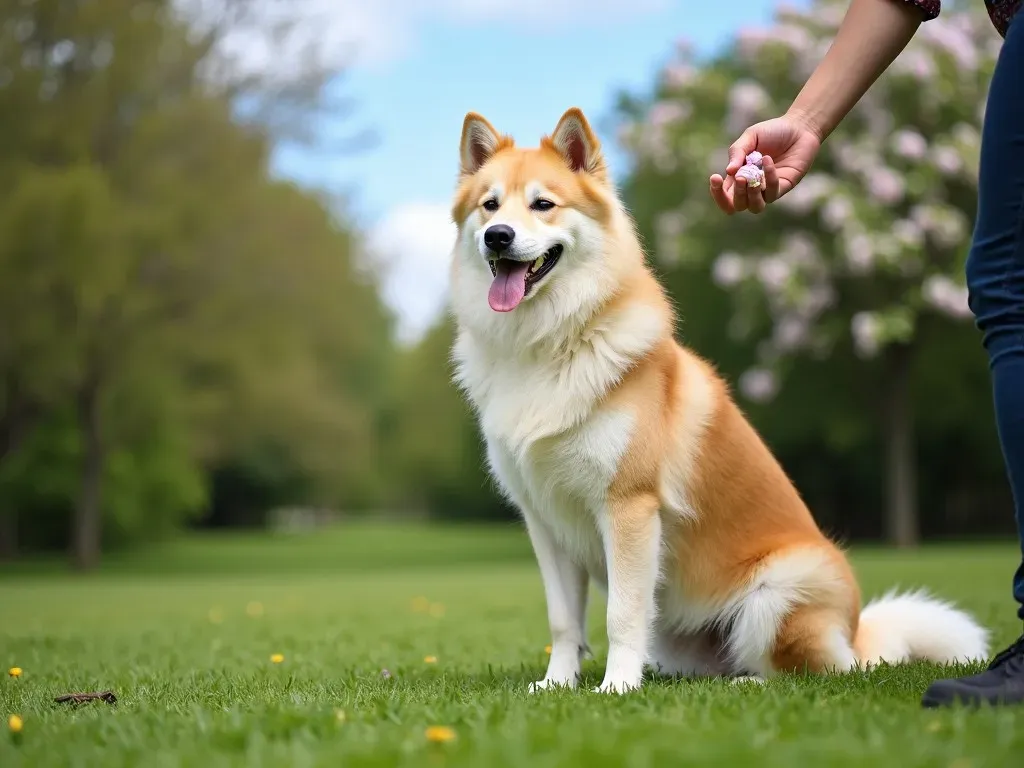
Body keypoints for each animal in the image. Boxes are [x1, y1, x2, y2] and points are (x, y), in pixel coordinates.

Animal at [448, 109, 991, 696]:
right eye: (490, 206)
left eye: (543, 204)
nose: (498, 236)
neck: (547, 345)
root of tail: (856, 634)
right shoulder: (545, 522)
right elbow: (563, 619)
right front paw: (556, 685)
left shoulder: (629, 508)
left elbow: (621, 614)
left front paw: (616, 687)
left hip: (778, 592)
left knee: (810, 673)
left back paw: (746, 684)